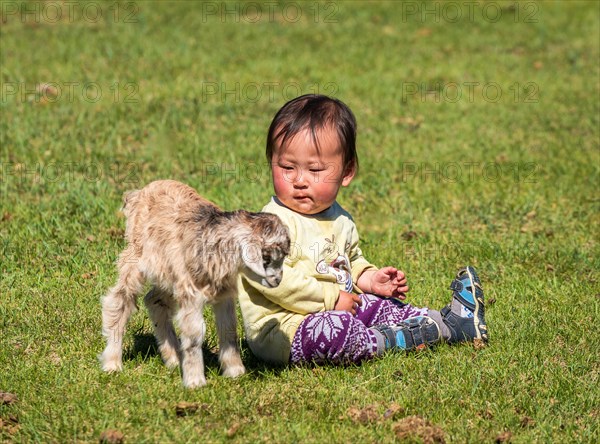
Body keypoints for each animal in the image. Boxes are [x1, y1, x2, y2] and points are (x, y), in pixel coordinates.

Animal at [99, 180, 290, 388]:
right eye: (266, 257)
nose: (278, 280)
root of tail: (139, 193)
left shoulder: (223, 293)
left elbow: (228, 329)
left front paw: (235, 372)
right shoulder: (190, 293)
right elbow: (194, 334)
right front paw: (195, 381)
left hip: (169, 273)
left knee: (154, 300)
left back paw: (174, 358)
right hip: (135, 257)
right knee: (118, 300)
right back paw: (112, 362)